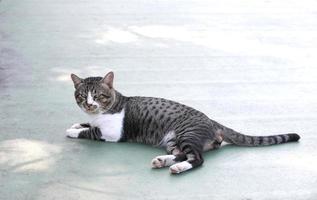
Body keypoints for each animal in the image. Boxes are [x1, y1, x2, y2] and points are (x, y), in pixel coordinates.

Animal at [66, 71, 298, 173]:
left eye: (97, 96)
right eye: (82, 96)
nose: (89, 104)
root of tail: (212, 120)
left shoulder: (112, 133)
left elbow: (91, 131)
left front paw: (73, 131)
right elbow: (87, 124)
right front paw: (78, 123)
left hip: (187, 134)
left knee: (197, 158)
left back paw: (178, 167)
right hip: (172, 139)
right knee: (180, 153)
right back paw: (162, 161)